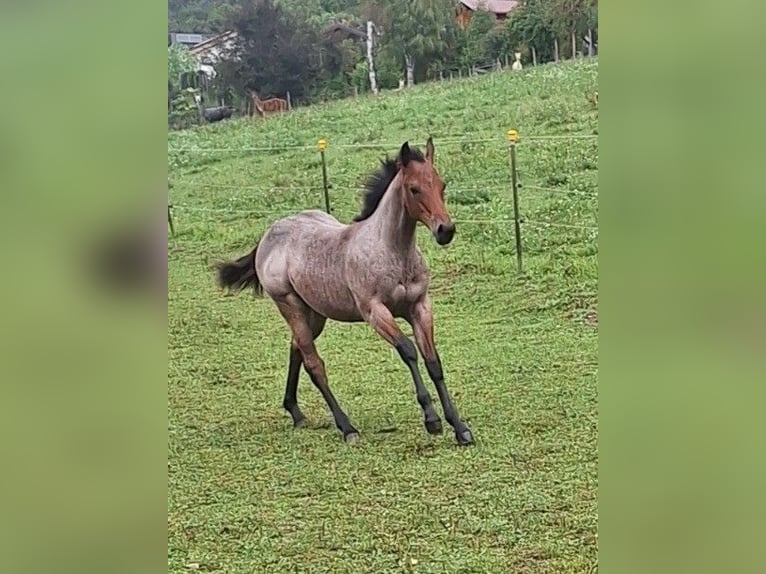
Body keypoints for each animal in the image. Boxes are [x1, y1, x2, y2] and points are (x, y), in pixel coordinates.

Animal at [215, 138, 474, 446]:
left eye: (441, 184)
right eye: (414, 189)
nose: (445, 230)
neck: (391, 252)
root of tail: (269, 235)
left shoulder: (420, 306)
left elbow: (433, 362)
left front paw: (460, 427)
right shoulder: (375, 312)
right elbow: (409, 351)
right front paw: (431, 420)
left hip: (315, 313)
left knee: (296, 348)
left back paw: (296, 412)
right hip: (290, 306)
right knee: (314, 364)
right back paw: (347, 427)